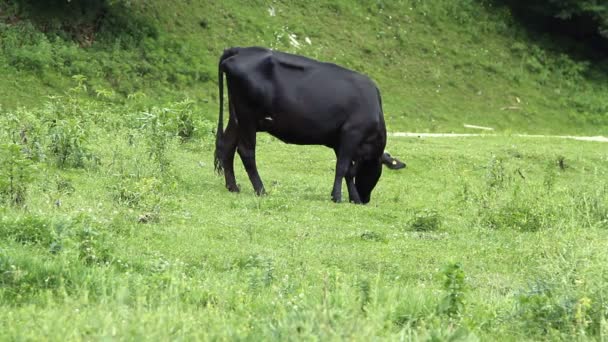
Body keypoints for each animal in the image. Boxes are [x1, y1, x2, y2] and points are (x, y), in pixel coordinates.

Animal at [214, 47, 384, 204]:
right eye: (375, 171)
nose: (366, 199)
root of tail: (241, 50)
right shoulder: (352, 133)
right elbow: (342, 167)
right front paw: (337, 197)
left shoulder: (339, 141)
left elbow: (348, 170)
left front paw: (354, 198)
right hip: (247, 116)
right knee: (246, 151)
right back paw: (261, 190)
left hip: (237, 118)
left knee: (227, 146)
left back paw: (233, 187)